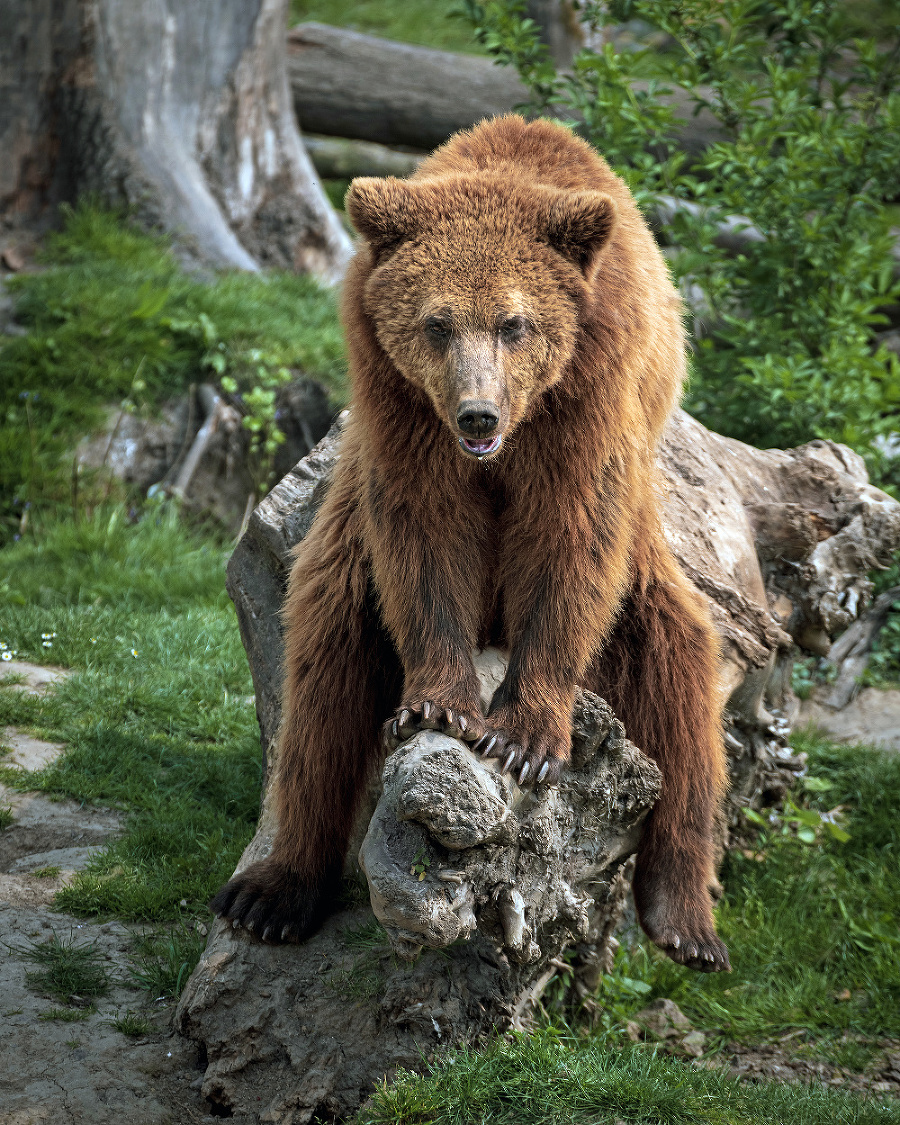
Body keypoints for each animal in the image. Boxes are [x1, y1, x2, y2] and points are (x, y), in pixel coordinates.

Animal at [216, 116, 729, 976]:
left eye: (515, 322)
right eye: (437, 321)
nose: (478, 415)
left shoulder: (585, 396)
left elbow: (570, 540)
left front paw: (524, 739)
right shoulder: (401, 405)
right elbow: (424, 535)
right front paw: (437, 703)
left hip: (647, 576)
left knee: (680, 677)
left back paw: (686, 919)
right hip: (344, 545)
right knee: (324, 671)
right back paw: (273, 893)